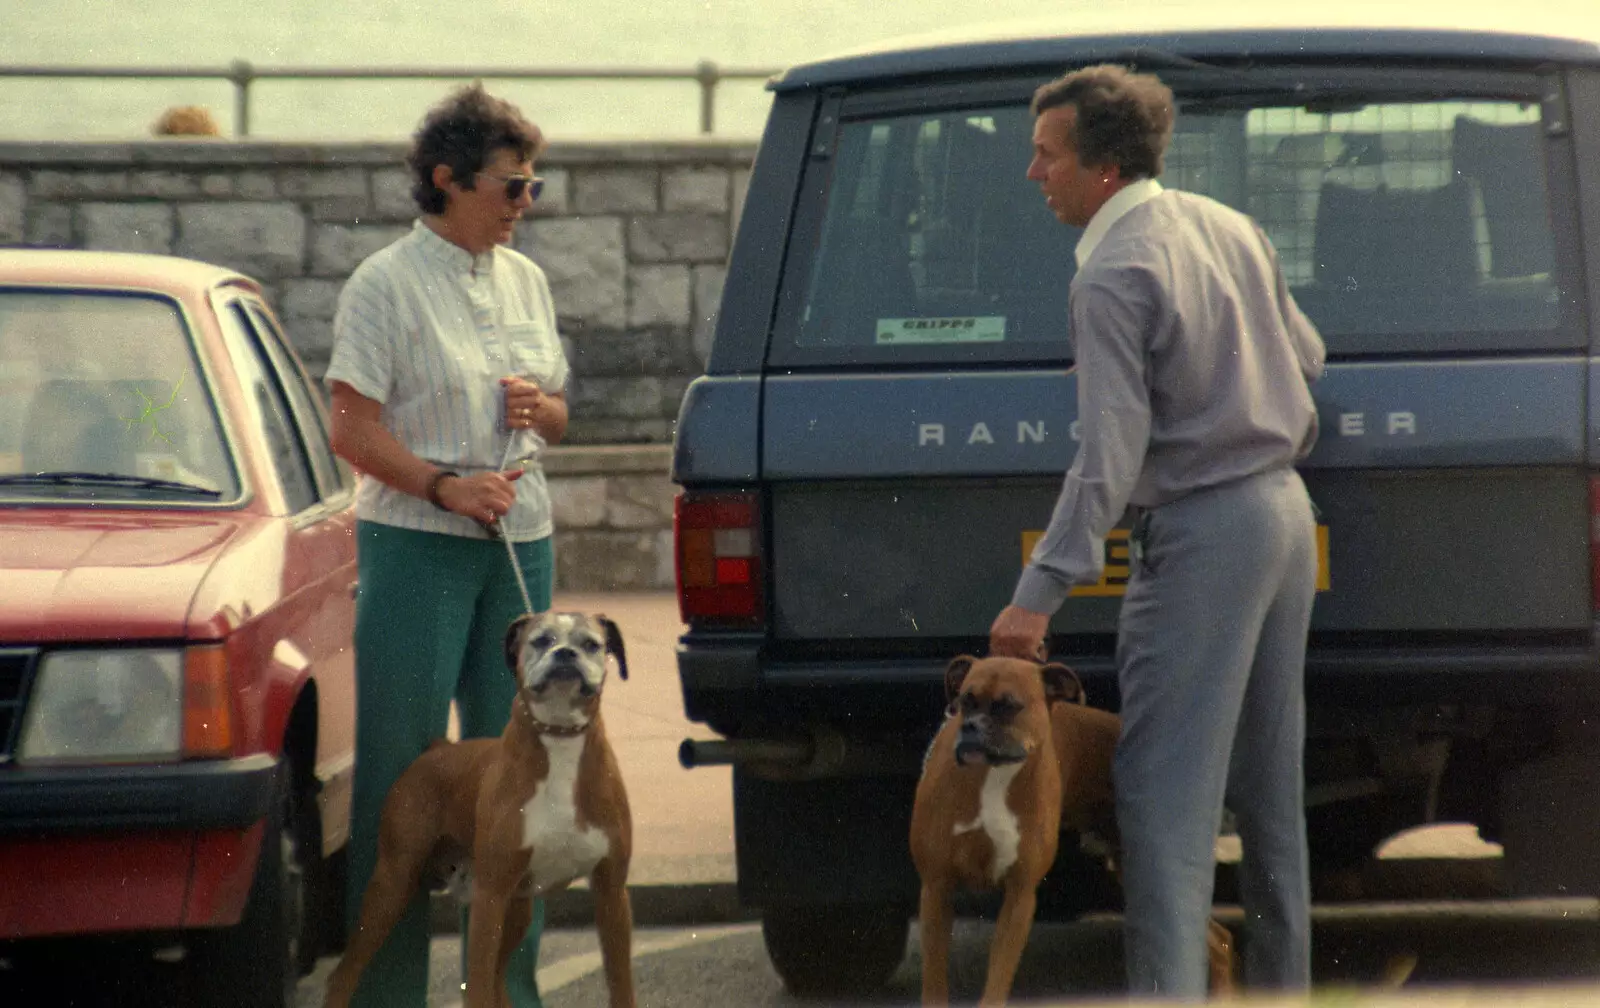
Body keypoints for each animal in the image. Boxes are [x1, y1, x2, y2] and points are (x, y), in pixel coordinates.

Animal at [326, 611, 636, 1008]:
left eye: (591, 644)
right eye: (541, 640)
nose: (565, 654)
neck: (559, 736)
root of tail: (438, 749)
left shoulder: (611, 893)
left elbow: (621, 982)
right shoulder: (490, 897)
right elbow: (476, 984)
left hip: (517, 908)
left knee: (499, 978)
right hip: (393, 883)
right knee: (344, 973)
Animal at [915, 656, 1235, 1008]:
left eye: (1009, 706)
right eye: (965, 702)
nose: (971, 726)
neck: (994, 777)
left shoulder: (1019, 897)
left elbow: (998, 979)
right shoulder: (937, 889)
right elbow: (934, 981)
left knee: (1217, 938)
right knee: (1216, 937)